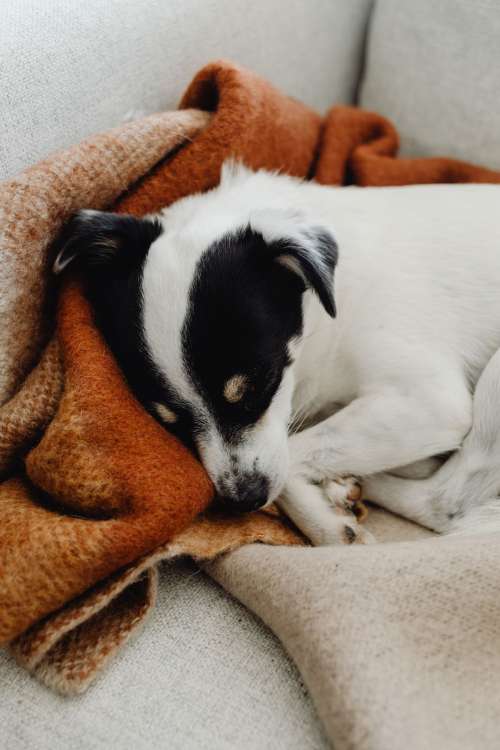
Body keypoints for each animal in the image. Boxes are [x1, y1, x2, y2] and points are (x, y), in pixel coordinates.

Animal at [51, 162, 500, 548]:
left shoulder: (426, 402)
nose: (243, 500)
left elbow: (291, 455)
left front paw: (326, 525)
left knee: (445, 503)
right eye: (169, 421)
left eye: (259, 386)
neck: (327, 315)